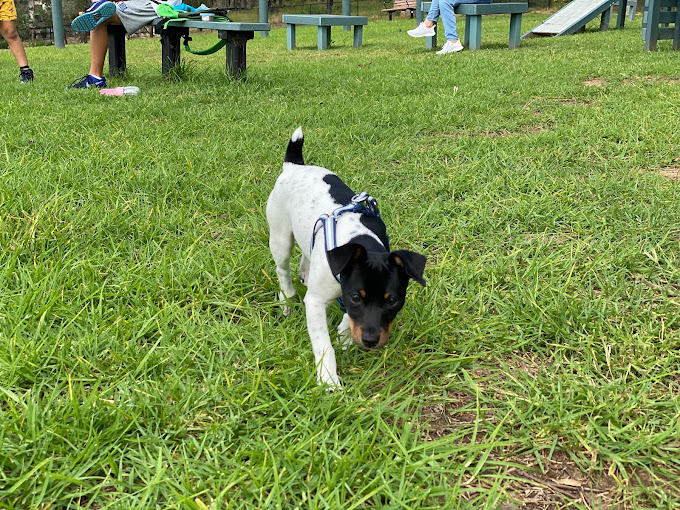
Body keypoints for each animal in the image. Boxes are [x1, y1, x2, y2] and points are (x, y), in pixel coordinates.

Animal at [266, 129, 424, 388]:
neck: (359, 238)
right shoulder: (316, 302)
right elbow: (324, 345)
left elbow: (347, 323)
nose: (370, 341)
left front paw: (344, 337)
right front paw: (328, 379)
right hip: (280, 236)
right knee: (282, 270)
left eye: (393, 301)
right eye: (356, 297)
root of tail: (294, 166)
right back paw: (286, 299)